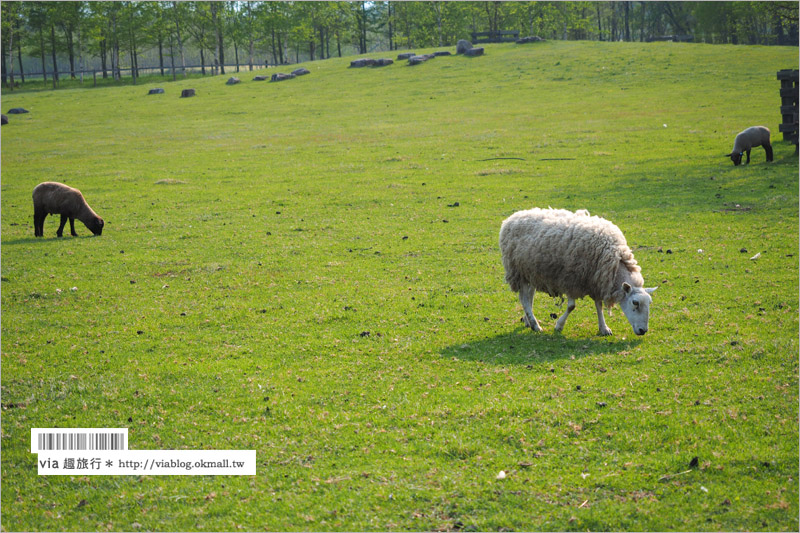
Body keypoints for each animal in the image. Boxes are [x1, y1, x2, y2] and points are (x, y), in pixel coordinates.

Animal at [500, 206, 656, 334]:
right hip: (517, 270)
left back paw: (528, 321)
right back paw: (535, 325)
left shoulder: (595, 280)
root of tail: (511, 218)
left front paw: (604, 328)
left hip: (531, 271)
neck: (614, 263)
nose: (643, 331)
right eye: (635, 303)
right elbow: (571, 306)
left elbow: (598, 305)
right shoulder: (571, 279)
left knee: (529, 295)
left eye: (649, 303)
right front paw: (559, 325)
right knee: (523, 298)